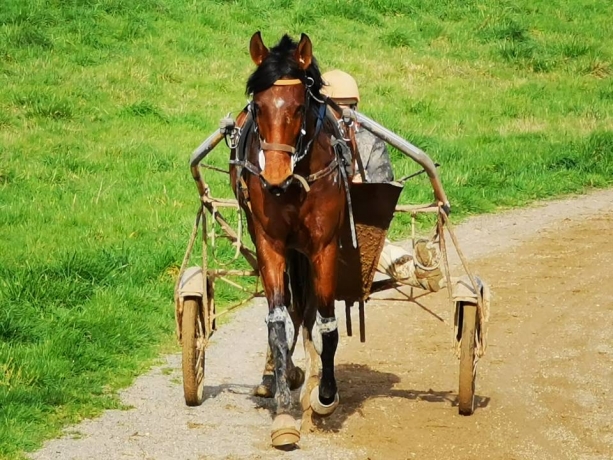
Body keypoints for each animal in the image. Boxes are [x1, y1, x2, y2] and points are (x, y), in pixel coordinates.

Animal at [230, 33, 350, 450]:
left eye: (299, 106)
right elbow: (277, 322)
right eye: (257, 106)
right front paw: (283, 411)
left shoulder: (324, 246)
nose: (275, 176)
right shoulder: (270, 243)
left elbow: (327, 322)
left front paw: (325, 395)